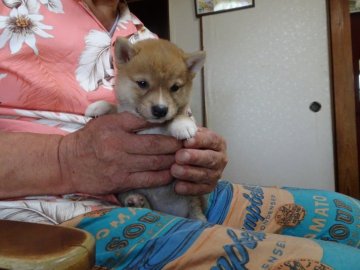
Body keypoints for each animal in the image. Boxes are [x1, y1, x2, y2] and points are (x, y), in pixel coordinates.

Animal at [85, 37, 207, 220]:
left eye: (175, 88)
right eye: (142, 83)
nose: (160, 110)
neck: (150, 125)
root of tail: (168, 211)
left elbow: (178, 114)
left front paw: (182, 123)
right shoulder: (124, 113)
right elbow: (115, 108)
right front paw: (99, 106)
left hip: (192, 197)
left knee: (196, 211)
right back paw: (136, 200)